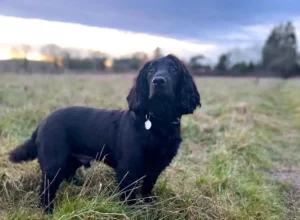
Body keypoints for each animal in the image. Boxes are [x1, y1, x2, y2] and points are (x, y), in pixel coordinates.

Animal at [8, 54, 200, 212]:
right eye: (151, 70)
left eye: (174, 69)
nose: (158, 81)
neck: (159, 121)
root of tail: (43, 122)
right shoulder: (127, 169)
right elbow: (129, 196)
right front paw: (132, 211)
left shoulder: (156, 168)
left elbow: (147, 188)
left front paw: (147, 204)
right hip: (53, 163)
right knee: (46, 190)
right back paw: (49, 210)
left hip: (70, 160)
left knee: (67, 176)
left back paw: (80, 186)